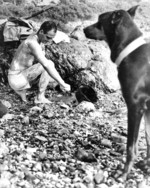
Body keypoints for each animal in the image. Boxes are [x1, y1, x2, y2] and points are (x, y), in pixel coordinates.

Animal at [84, 5, 150, 181]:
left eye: (100, 21)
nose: (84, 29)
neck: (130, 50)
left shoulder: (135, 107)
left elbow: (131, 147)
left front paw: (124, 172)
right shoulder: (148, 108)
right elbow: (148, 138)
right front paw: (147, 165)